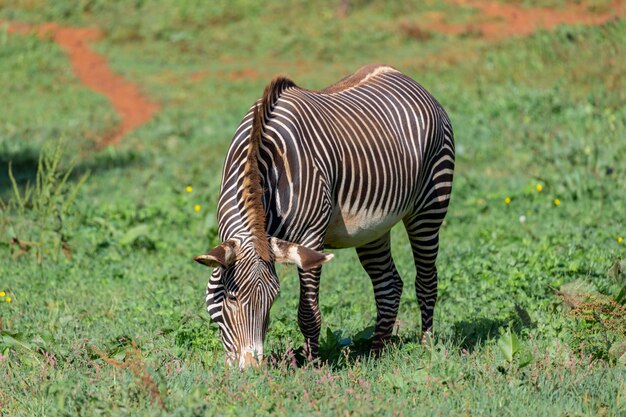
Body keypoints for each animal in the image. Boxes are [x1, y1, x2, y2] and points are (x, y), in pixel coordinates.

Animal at [195, 64, 454, 368]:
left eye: (273, 299)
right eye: (232, 297)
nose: (253, 368)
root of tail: (404, 77)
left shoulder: (311, 238)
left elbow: (308, 313)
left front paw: (312, 365)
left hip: (429, 207)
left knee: (426, 280)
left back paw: (427, 348)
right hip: (373, 228)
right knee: (388, 285)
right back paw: (376, 353)